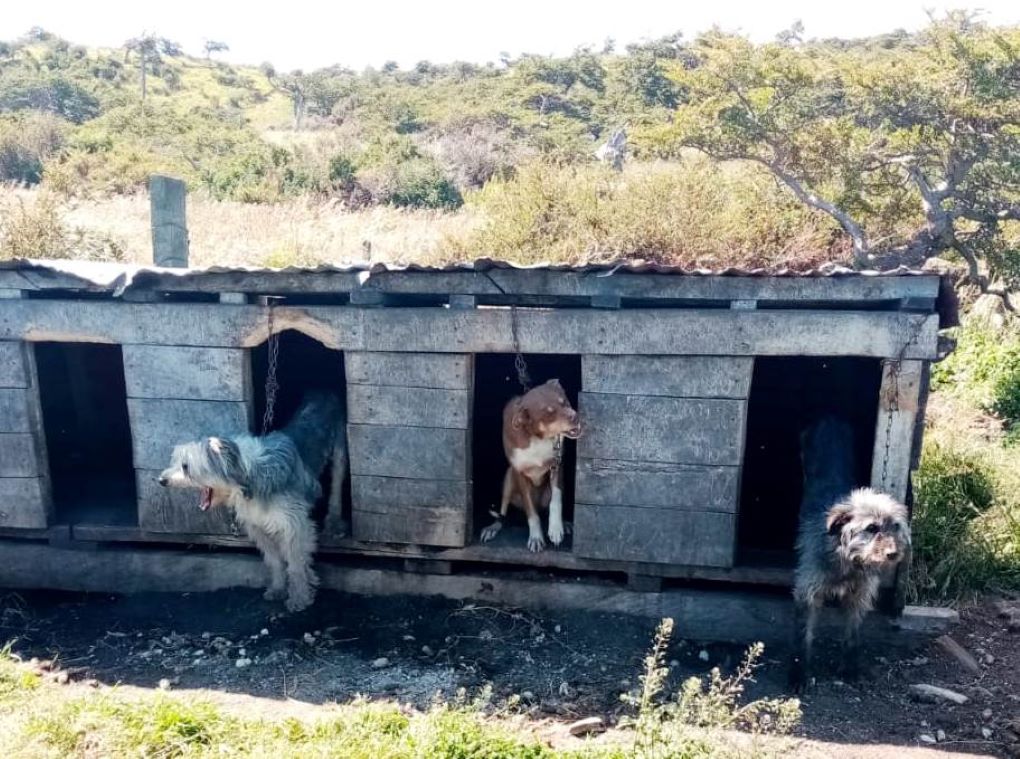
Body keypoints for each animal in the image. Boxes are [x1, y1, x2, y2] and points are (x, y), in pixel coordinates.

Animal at [158, 391, 346, 612]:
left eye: (186, 466)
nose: (161, 480)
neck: (248, 478)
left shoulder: (293, 526)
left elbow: (295, 564)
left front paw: (299, 597)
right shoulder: (258, 527)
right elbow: (275, 561)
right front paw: (278, 588)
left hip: (340, 455)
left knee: (337, 488)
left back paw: (335, 523)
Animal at [479, 379, 583, 550]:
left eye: (565, 402)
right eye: (549, 413)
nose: (575, 417)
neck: (537, 438)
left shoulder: (556, 465)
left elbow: (556, 499)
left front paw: (556, 528)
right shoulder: (519, 472)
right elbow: (531, 513)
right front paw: (536, 537)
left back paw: (565, 523)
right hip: (508, 479)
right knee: (503, 512)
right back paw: (493, 527)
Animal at [787, 418, 909, 689]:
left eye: (895, 526)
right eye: (872, 528)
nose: (893, 554)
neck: (847, 561)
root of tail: (829, 414)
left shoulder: (859, 597)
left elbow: (853, 636)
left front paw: (850, 669)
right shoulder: (807, 594)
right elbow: (803, 637)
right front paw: (799, 674)